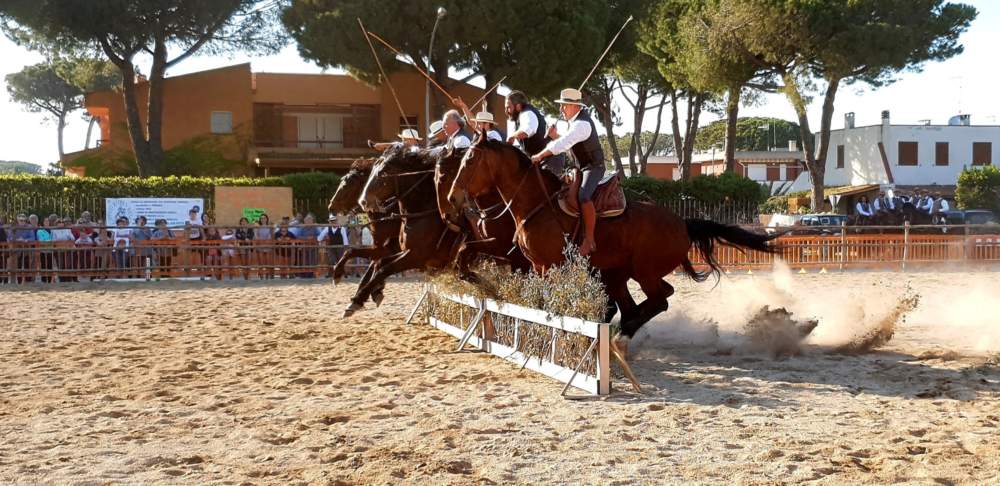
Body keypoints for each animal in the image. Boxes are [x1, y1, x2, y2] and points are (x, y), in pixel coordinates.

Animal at [326, 157, 402, 307]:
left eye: (346, 185)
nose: (331, 206)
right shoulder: (384, 248)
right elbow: (372, 265)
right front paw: (372, 291)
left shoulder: (389, 248)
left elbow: (351, 251)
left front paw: (337, 274)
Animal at [348, 144, 462, 317]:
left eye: (383, 172)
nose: (363, 201)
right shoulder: (402, 252)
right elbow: (378, 263)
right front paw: (364, 295)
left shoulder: (415, 257)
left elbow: (383, 268)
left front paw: (360, 297)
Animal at [447, 138, 775, 358]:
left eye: (470, 161)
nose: (453, 197)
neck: (538, 204)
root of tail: (683, 222)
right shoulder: (532, 265)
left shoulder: (547, 266)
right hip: (620, 274)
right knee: (644, 301)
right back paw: (620, 331)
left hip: (643, 272)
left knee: (660, 301)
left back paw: (622, 335)